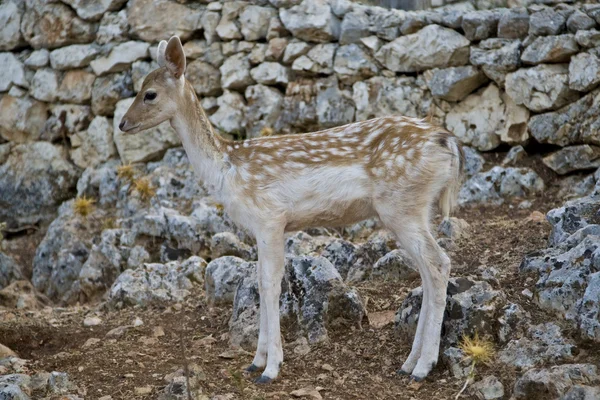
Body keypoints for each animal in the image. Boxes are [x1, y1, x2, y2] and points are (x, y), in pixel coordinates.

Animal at [118, 36, 464, 382]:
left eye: (150, 93)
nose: (122, 124)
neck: (227, 169)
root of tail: (447, 142)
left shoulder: (270, 217)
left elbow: (271, 285)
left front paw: (271, 369)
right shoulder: (261, 228)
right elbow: (258, 282)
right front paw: (256, 361)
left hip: (401, 205)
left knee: (438, 263)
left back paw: (423, 366)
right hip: (414, 208)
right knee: (428, 270)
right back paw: (409, 363)